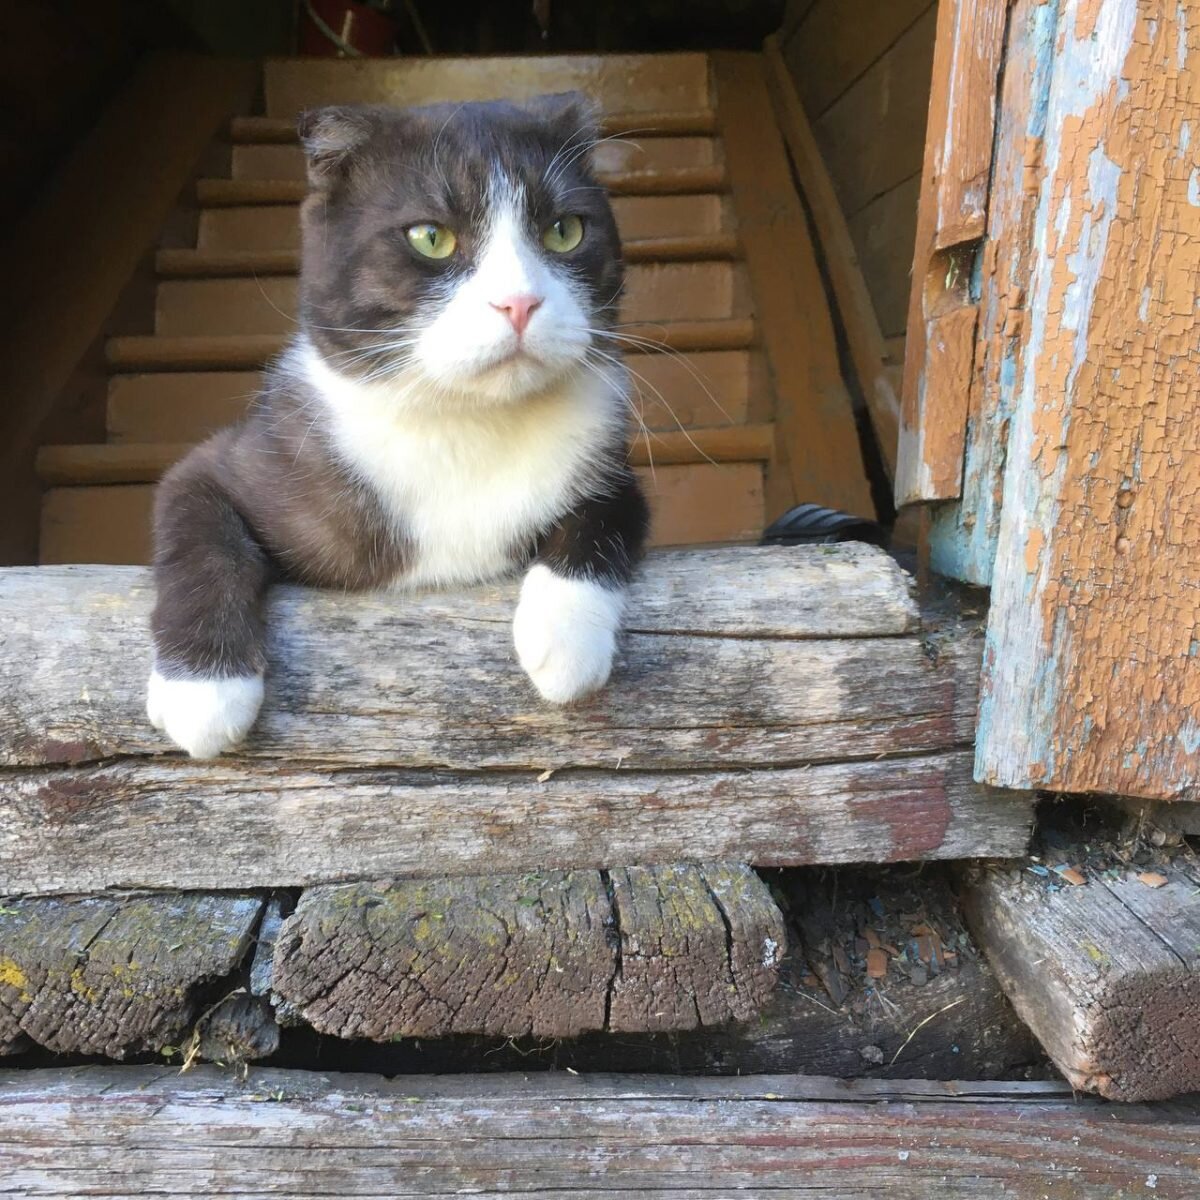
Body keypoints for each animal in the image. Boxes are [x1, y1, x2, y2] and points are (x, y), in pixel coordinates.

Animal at [147, 98, 648, 763]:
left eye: (565, 230)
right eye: (430, 237)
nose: (518, 303)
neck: (465, 420)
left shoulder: (610, 465)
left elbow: (604, 516)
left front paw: (566, 641)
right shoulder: (238, 459)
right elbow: (201, 534)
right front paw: (204, 692)